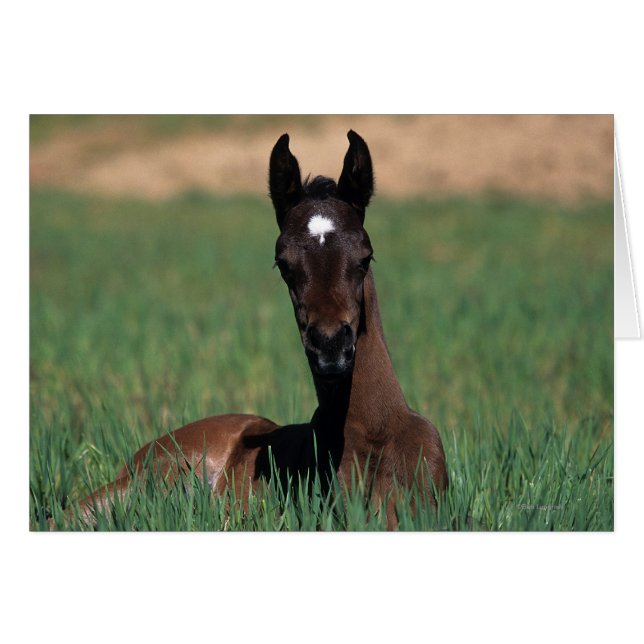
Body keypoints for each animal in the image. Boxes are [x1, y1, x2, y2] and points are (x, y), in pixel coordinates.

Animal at [53, 130, 448, 529]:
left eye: (365, 257)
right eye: (283, 263)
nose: (330, 347)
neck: (375, 434)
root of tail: (138, 455)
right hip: (146, 484)